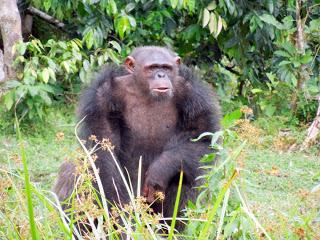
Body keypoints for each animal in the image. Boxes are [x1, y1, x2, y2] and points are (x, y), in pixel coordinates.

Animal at [53, 46, 221, 228]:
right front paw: (119, 218)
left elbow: (201, 139)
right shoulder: (102, 97)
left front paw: (161, 169)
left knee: (185, 170)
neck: (144, 91)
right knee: (77, 168)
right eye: (152, 68)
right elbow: (104, 149)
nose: (161, 75)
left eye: (166, 68)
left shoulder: (194, 96)